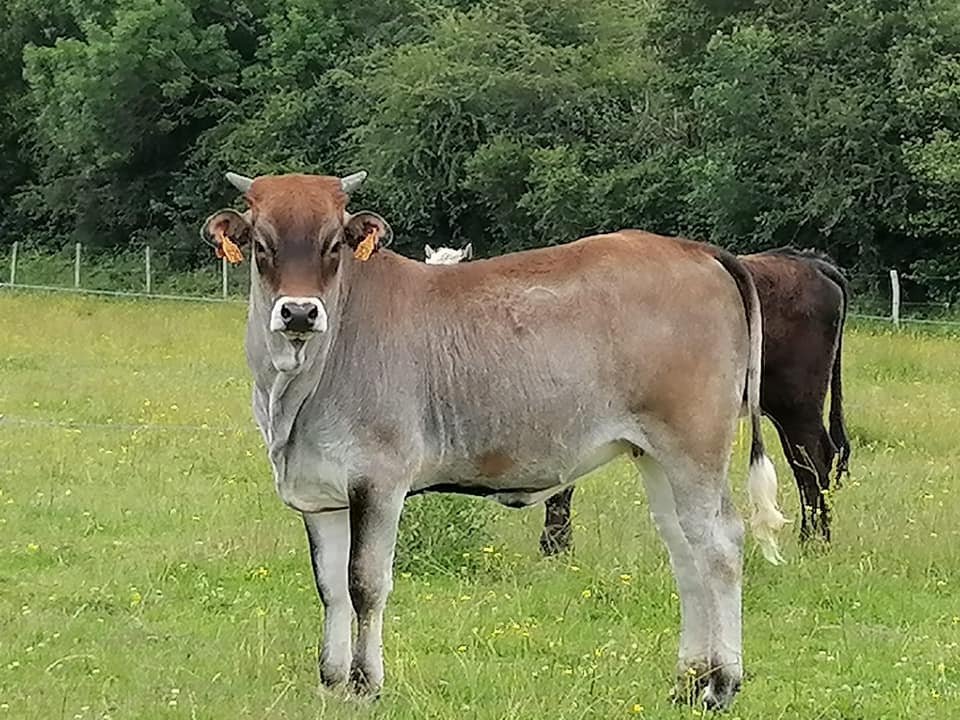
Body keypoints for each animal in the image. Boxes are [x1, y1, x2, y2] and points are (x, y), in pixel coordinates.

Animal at [202, 170, 787, 711]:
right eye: (261, 244)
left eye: (332, 243)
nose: (300, 312)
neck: (296, 391)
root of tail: (694, 249)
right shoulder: (322, 494)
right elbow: (329, 588)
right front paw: (332, 680)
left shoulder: (379, 481)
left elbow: (364, 583)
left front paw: (367, 684)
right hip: (655, 455)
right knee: (686, 553)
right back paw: (688, 681)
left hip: (695, 446)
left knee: (721, 547)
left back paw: (721, 685)